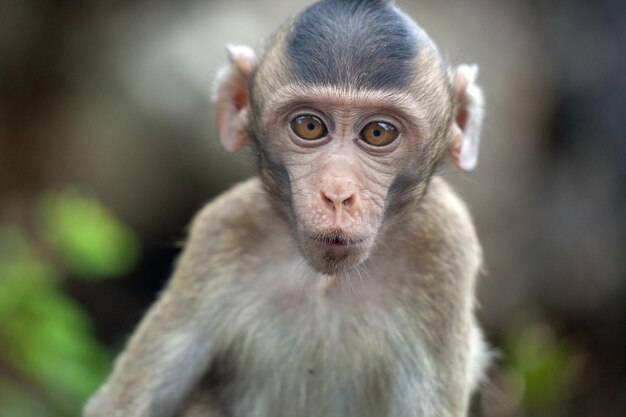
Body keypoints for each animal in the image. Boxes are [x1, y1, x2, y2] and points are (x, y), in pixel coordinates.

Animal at [84, 0, 488, 414]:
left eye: (378, 132)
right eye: (309, 126)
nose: (337, 194)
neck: (327, 281)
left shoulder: (444, 245)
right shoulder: (224, 230)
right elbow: (119, 405)